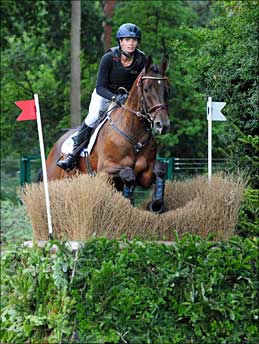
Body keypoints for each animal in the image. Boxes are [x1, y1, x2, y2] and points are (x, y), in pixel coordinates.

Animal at [45, 54, 171, 212]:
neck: (134, 134)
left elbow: (160, 169)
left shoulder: (145, 174)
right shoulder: (104, 171)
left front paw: (156, 203)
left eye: (167, 89)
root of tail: (55, 147)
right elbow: (128, 174)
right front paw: (128, 197)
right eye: (147, 89)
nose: (163, 125)